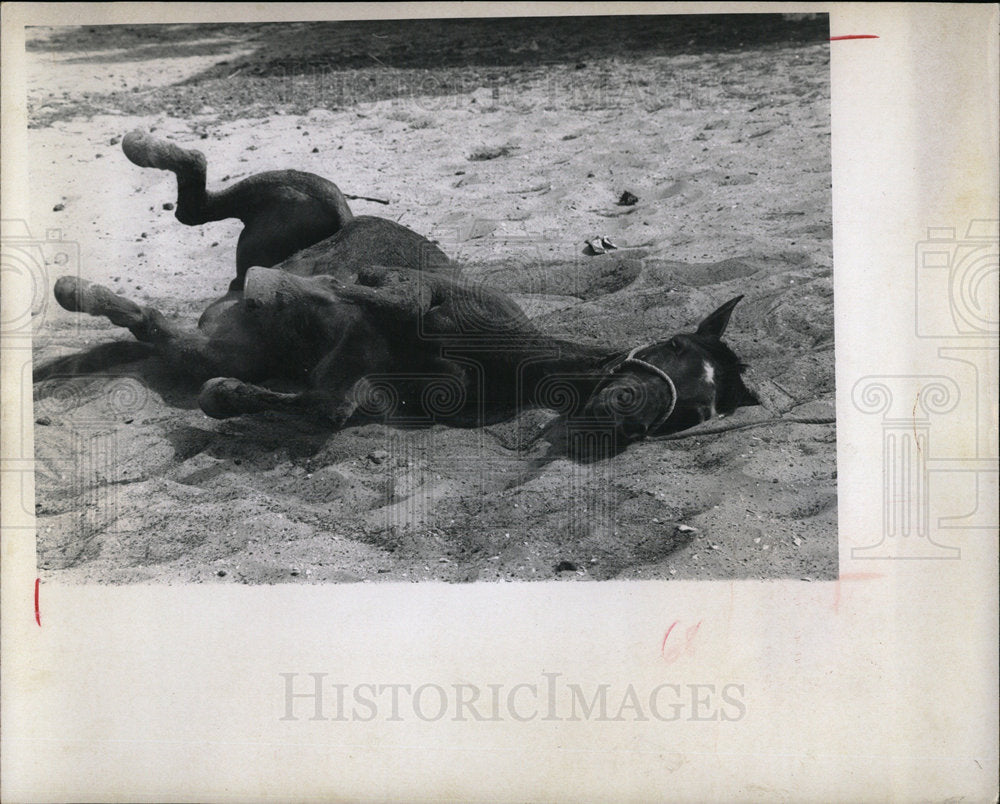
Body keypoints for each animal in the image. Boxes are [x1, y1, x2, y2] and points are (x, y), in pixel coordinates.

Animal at [41, 130, 756, 450]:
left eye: (697, 414)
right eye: (672, 349)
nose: (629, 417)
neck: (508, 356)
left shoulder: (363, 383)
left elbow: (317, 404)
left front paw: (234, 394)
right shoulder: (404, 293)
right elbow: (351, 295)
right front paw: (294, 291)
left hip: (208, 338)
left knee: (147, 319)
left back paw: (79, 292)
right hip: (308, 197)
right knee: (196, 195)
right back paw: (142, 147)